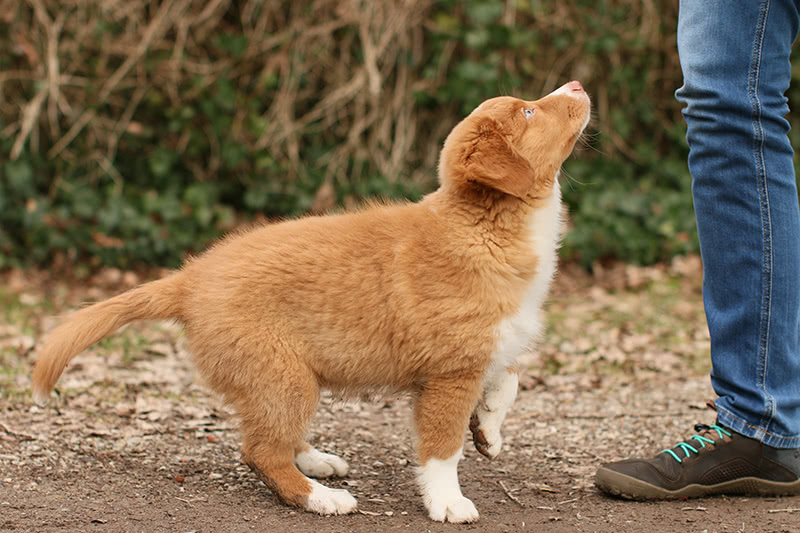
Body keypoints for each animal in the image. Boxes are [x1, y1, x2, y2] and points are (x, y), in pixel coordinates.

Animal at [31, 81, 592, 520]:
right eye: (528, 111)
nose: (578, 84)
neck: (486, 228)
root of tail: (189, 279)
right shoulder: (449, 375)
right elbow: (441, 448)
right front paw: (448, 503)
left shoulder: (483, 347)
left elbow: (509, 378)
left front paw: (490, 431)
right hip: (283, 373)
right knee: (260, 450)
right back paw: (320, 497)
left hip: (288, 376)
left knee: (272, 434)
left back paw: (317, 461)